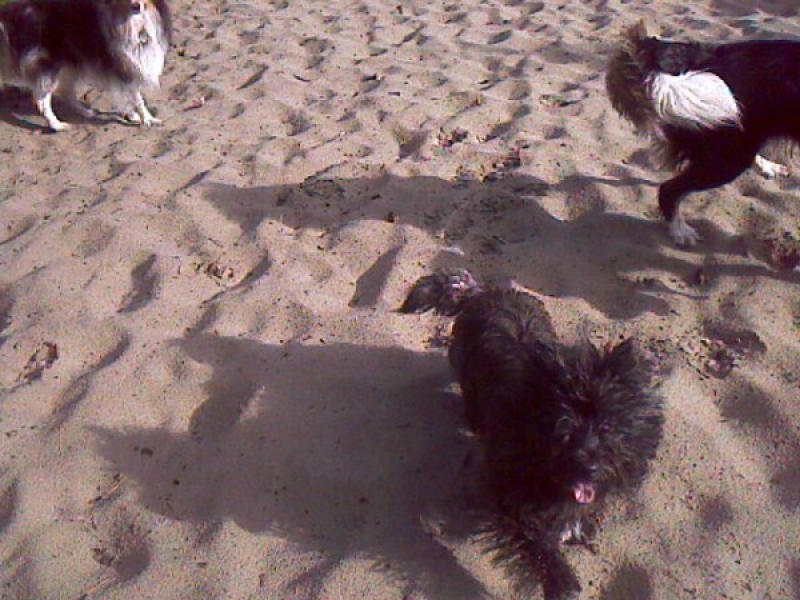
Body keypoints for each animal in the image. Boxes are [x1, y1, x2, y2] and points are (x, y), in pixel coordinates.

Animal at [0, 0, 171, 131]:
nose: (136, 6)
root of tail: (11, 13)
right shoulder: (123, 65)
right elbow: (137, 97)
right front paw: (147, 119)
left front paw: (131, 115)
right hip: (49, 66)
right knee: (42, 100)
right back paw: (57, 125)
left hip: (70, 64)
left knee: (66, 91)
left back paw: (85, 112)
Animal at [400, 270, 664, 600]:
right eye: (564, 431)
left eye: (608, 427)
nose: (590, 468)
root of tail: (485, 292)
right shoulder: (509, 492)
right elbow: (535, 540)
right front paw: (560, 580)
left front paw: (576, 529)